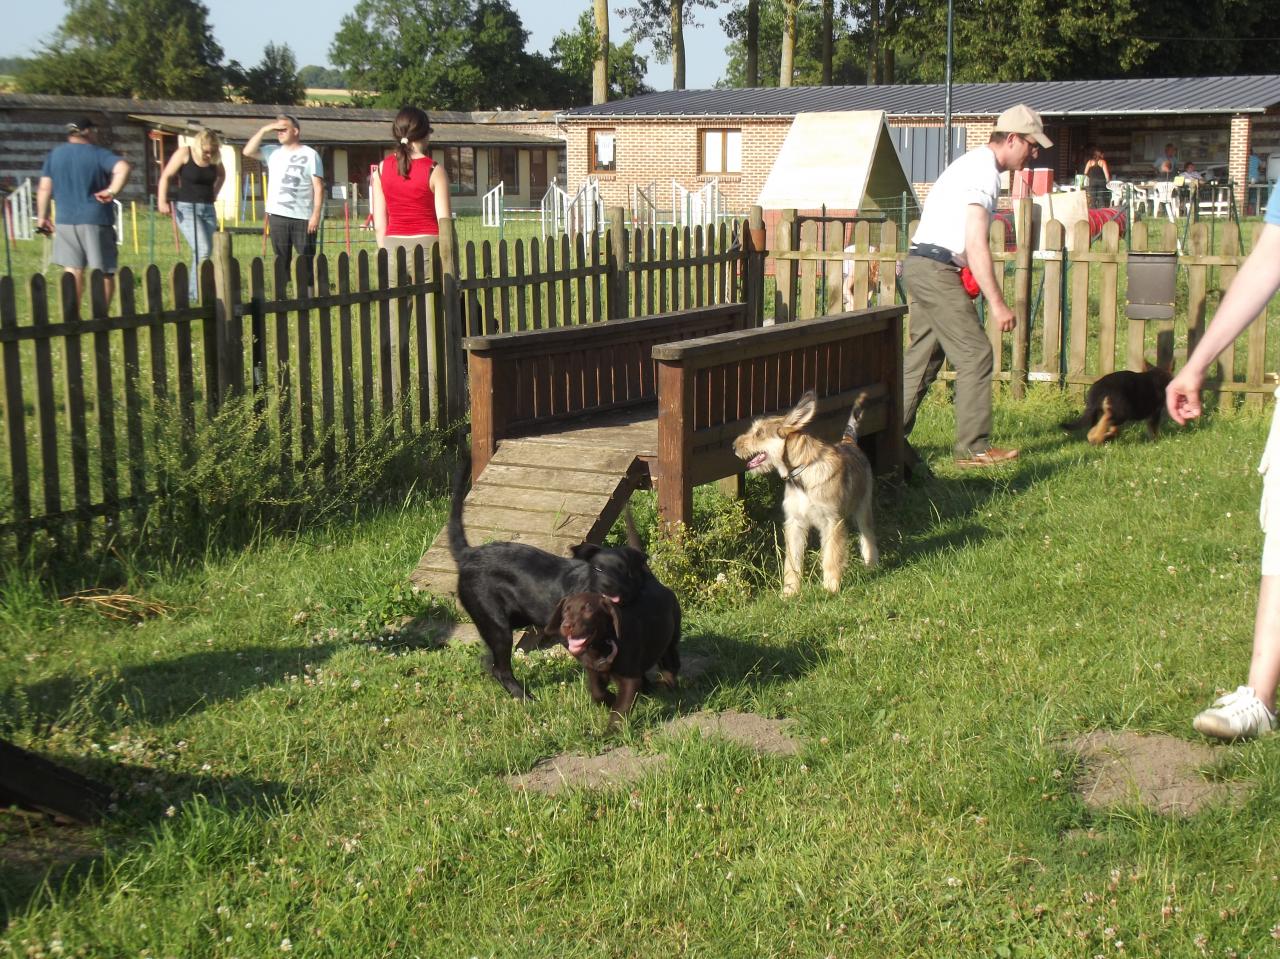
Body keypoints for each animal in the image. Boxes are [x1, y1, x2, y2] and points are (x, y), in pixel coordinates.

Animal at [450, 463, 650, 696]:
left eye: (623, 569)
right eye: (598, 569)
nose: (607, 585)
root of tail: (468, 554)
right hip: (498, 625)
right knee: (500, 669)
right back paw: (524, 697)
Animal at [732, 391, 880, 599]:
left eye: (759, 433)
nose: (733, 447)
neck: (802, 475)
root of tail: (848, 442)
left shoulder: (832, 522)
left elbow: (831, 558)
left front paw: (831, 588)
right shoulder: (795, 523)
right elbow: (792, 561)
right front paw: (789, 592)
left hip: (863, 508)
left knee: (868, 536)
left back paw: (871, 565)